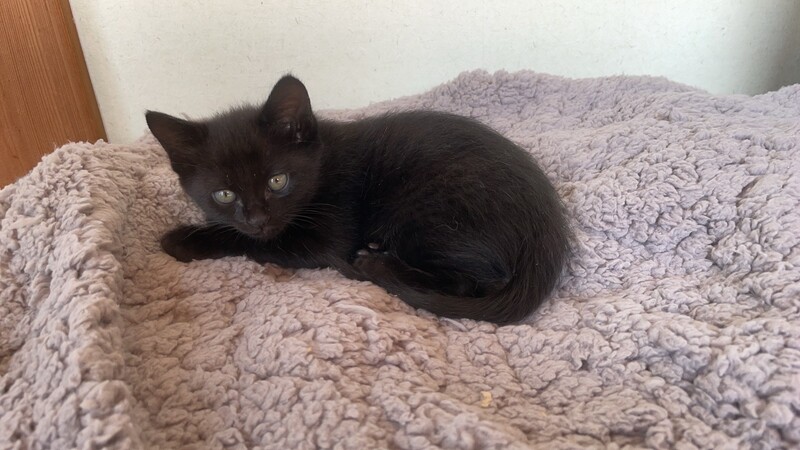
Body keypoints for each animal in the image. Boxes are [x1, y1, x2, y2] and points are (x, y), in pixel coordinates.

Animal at [146, 75, 571, 324]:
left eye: (277, 181)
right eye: (224, 194)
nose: (256, 219)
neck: (322, 162)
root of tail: (547, 226)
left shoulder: (328, 235)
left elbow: (258, 244)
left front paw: (184, 240)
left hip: (428, 210)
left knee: (473, 282)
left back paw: (376, 263)